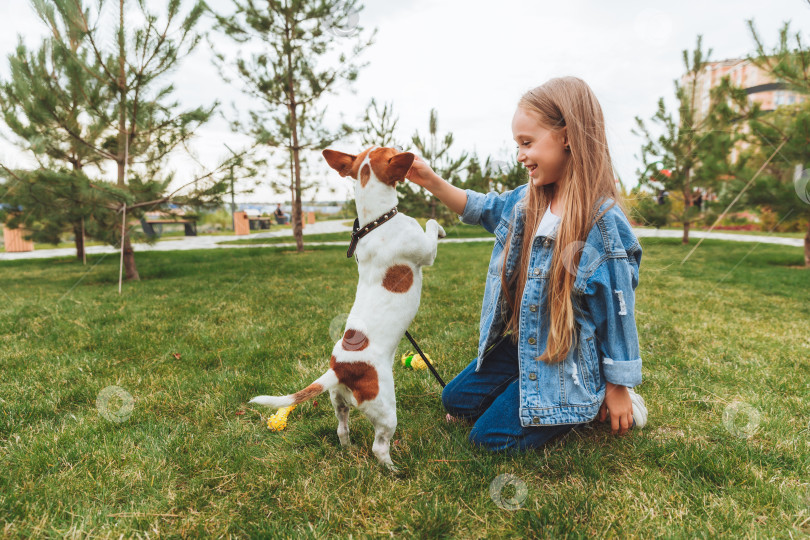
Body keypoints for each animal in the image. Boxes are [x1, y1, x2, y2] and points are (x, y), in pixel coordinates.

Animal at [249, 147, 446, 468]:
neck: (377, 221)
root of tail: (340, 369)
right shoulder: (425, 251)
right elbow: (429, 225)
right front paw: (439, 227)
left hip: (339, 402)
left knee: (342, 429)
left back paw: (349, 450)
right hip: (385, 410)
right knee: (379, 446)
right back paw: (394, 469)